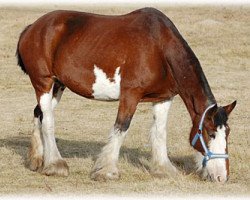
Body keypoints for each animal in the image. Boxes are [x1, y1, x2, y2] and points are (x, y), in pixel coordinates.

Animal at [16, 7, 236, 183]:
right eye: (210, 133)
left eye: (228, 133)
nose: (222, 177)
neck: (159, 48)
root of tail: (32, 27)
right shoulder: (130, 94)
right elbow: (121, 127)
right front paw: (106, 171)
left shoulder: (163, 98)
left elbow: (160, 132)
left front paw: (163, 169)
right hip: (43, 83)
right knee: (48, 121)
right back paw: (55, 165)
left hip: (58, 85)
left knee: (39, 113)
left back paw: (37, 160)